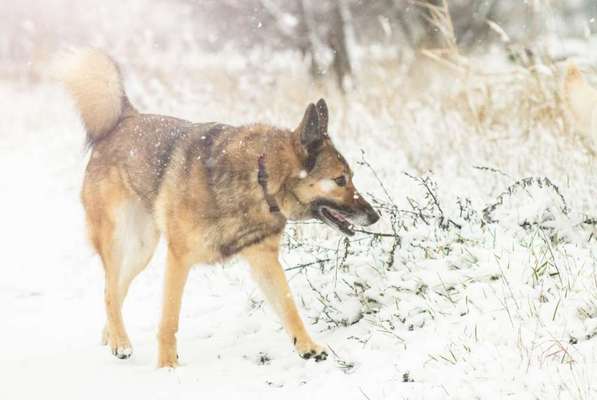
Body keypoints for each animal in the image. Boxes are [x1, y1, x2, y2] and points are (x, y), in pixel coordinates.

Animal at [58, 48, 380, 368]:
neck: (260, 178)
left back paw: (111, 334)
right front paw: (167, 367)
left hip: (141, 250)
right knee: (110, 290)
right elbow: (169, 320)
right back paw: (120, 342)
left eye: (350, 177)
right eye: (340, 180)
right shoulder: (178, 258)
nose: (375, 216)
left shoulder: (264, 260)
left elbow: (289, 308)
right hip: (120, 239)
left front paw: (307, 347)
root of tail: (124, 119)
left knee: (116, 288)